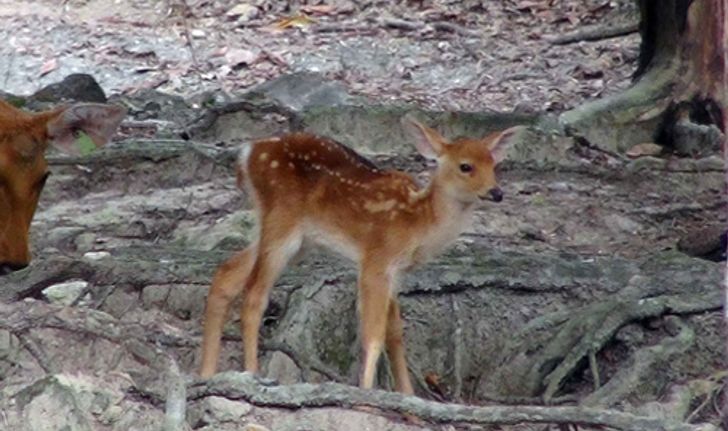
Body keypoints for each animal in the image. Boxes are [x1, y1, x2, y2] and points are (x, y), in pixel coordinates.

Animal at [199, 116, 516, 394]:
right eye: (466, 166)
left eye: (494, 164)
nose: (496, 192)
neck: (418, 222)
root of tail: (247, 153)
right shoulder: (376, 259)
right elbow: (373, 332)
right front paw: (366, 391)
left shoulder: (397, 272)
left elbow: (395, 333)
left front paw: (408, 397)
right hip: (282, 225)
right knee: (254, 294)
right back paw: (251, 373)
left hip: (294, 238)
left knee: (226, 272)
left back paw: (206, 374)